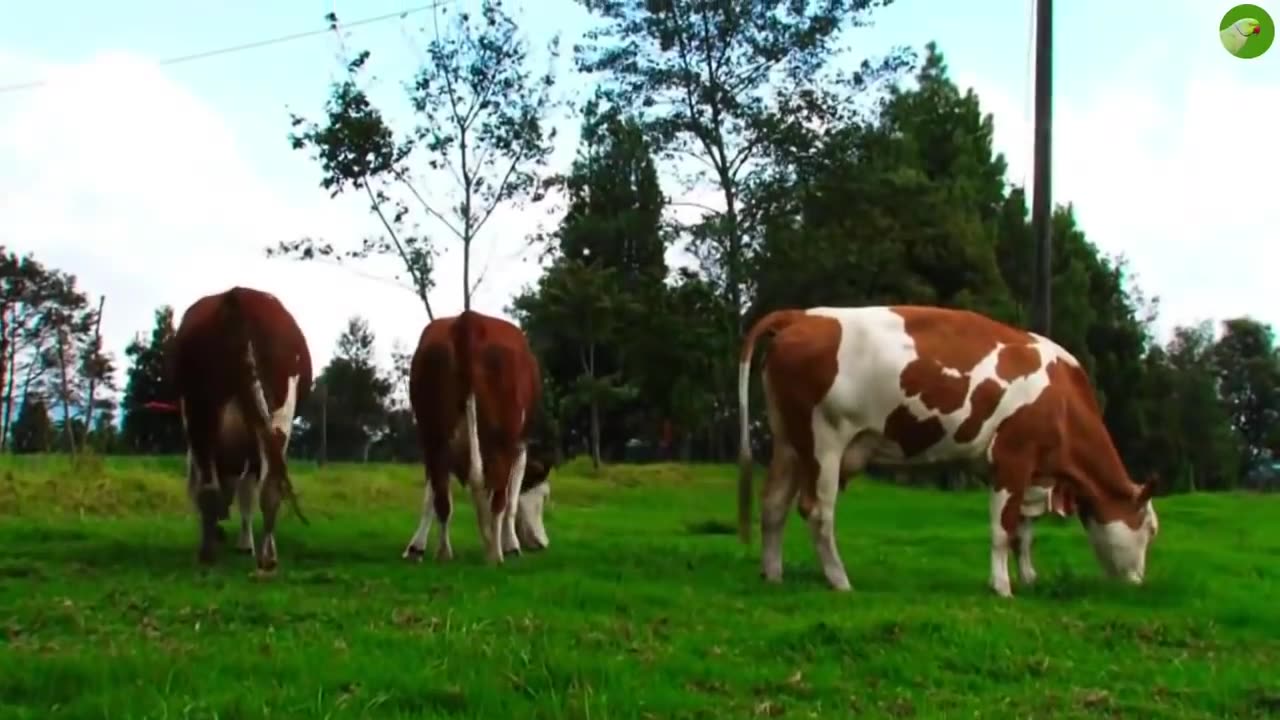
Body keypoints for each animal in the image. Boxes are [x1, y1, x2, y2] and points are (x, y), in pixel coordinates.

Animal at [170, 285, 312, 571]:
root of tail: (237, 296)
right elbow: (248, 491)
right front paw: (246, 544)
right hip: (278, 416)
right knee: (270, 487)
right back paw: (267, 557)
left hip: (200, 411)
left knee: (209, 489)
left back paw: (207, 554)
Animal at [396, 311, 552, 563]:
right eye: (544, 497)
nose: (543, 543)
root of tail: (468, 319)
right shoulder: (520, 447)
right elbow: (511, 501)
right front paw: (511, 545)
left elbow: (431, 495)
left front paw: (416, 547)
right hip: (504, 440)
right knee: (499, 499)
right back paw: (496, 555)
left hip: (433, 433)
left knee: (442, 499)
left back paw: (444, 552)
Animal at [732, 302, 1162, 594]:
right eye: (1150, 529)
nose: (1140, 581)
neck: (1062, 398)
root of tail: (803, 316)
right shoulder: (1012, 457)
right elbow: (1003, 528)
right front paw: (1002, 587)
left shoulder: (1033, 475)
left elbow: (1024, 533)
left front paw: (1028, 577)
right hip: (824, 441)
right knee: (818, 511)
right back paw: (839, 579)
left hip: (788, 441)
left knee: (773, 505)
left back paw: (773, 574)